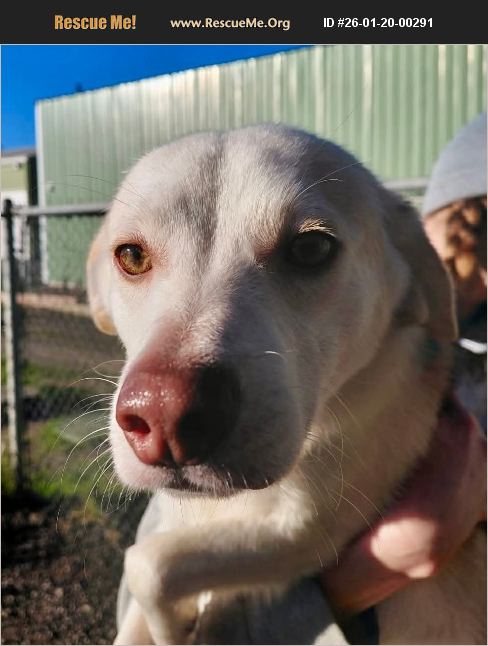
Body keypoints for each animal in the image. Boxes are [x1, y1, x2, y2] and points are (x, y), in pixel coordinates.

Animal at [86, 125, 486, 644]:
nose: (165, 415)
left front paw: (173, 626)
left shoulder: (309, 532)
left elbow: (151, 564)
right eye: (131, 255)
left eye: (311, 249)